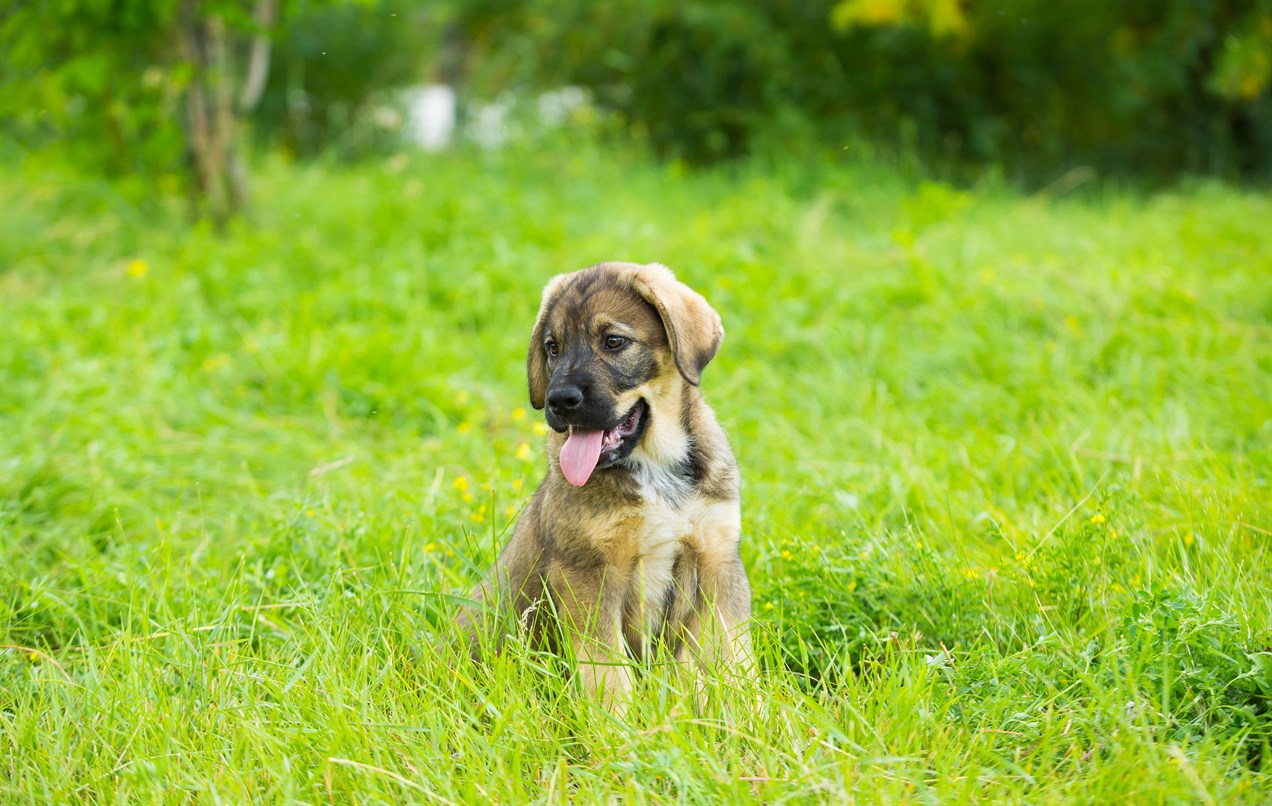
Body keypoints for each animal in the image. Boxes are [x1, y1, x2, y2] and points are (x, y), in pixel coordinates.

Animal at [460, 259, 747, 701]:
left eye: (613, 341)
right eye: (552, 347)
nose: (559, 400)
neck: (655, 466)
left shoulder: (718, 562)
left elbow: (733, 662)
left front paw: (755, 713)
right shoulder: (588, 574)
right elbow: (608, 673)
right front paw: (619, 721)